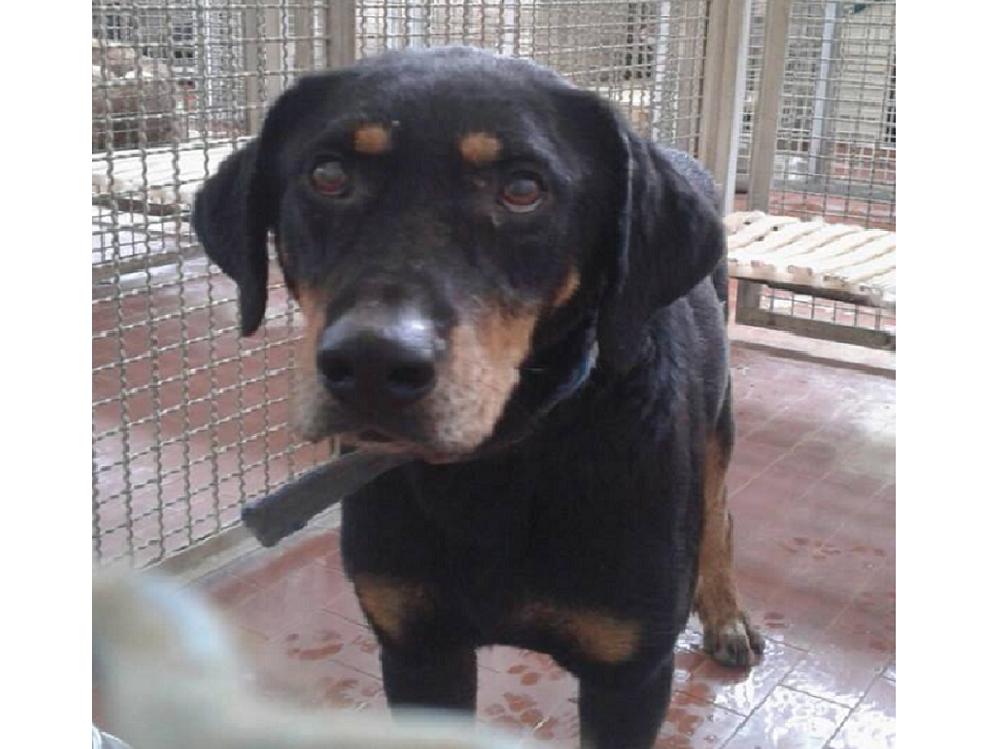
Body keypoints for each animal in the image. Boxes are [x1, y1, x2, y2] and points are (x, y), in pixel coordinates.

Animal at [194, 47, 762, 748]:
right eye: (327, 174)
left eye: (523, 189)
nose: (372, 364)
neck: (496, 468)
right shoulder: (417, 649)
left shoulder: (630, 677)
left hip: (719, 421)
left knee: (719, 513)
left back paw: (727, 616)